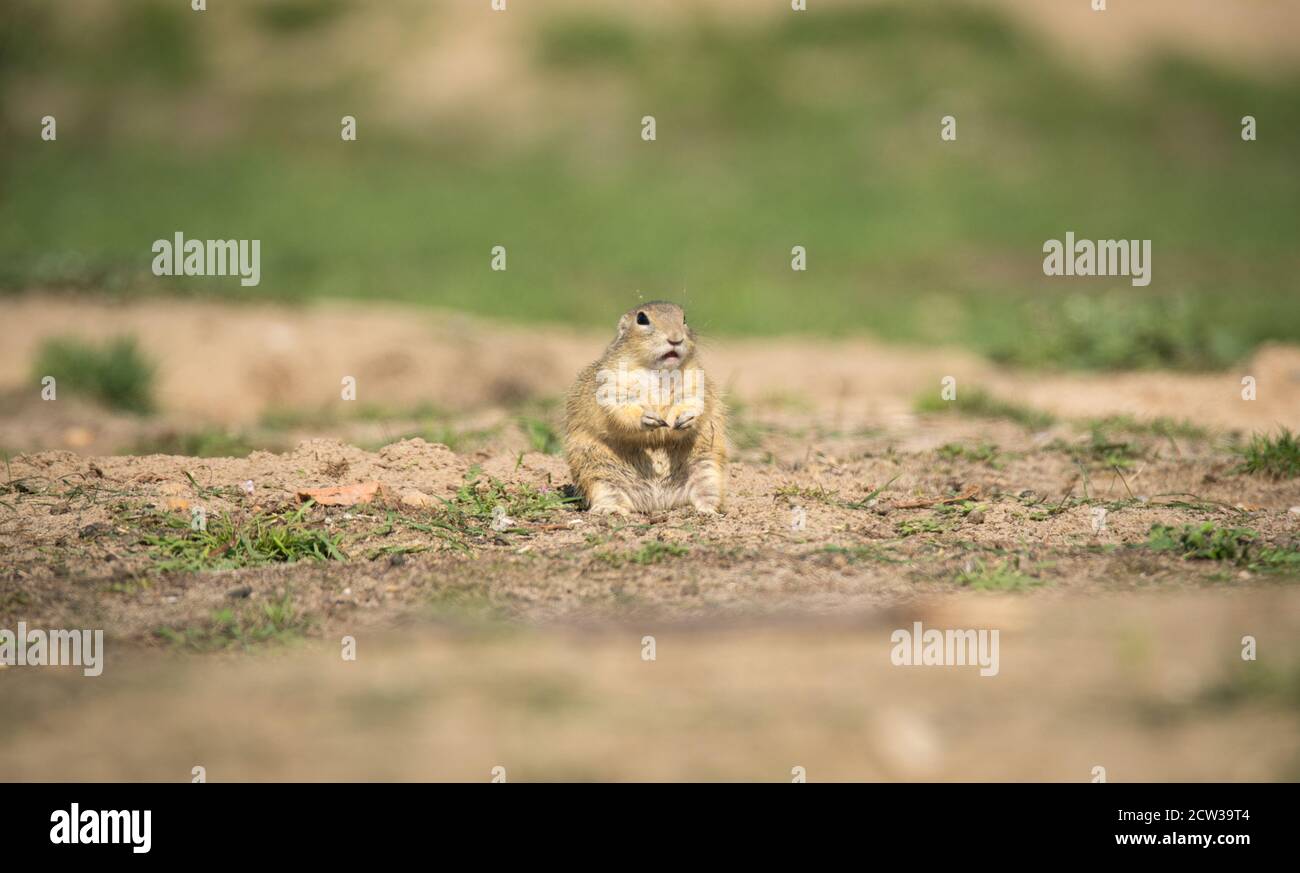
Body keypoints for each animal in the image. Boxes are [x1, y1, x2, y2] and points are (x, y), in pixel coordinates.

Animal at [564, 301, 728, 514]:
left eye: (684, 318)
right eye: (642, 319)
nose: (676, 338)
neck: (660, 372)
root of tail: (656, 503)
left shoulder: (695, 381)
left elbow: (695, 401)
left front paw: (685, 418)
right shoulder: (612, 383)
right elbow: (619, 408)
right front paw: (647, 418)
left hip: (707, 470)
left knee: (706, 495)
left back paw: (706, 512)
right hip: (597, 474)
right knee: (608, 496)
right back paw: (610, 510)